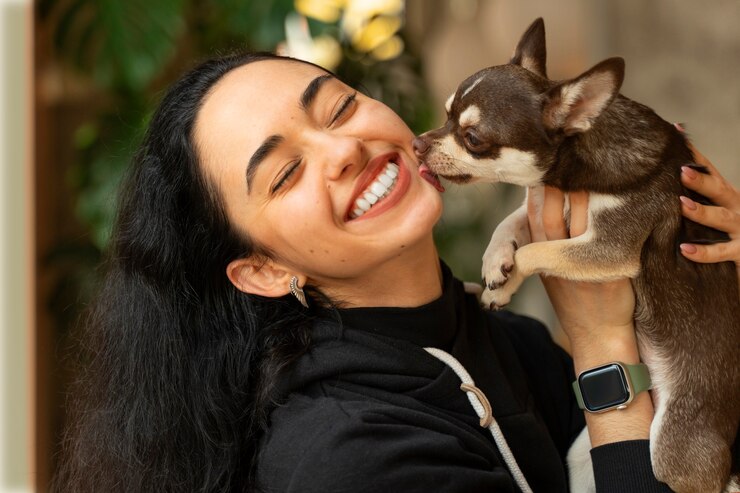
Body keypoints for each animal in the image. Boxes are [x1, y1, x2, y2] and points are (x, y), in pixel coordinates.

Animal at [416, 17, 740, 492]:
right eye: (444, 116)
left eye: (473, 138)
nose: (417, 143)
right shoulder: (544, 203)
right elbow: (513, 222)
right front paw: (495, 265)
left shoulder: (609, 248)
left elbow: (535, 250)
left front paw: (508, 276)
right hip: (581, 454)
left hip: (673, 449)